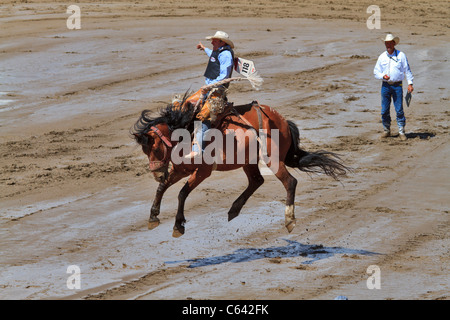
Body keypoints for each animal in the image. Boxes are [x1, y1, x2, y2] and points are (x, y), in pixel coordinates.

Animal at [131, 95, 348, 238]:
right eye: (145, 151)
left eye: (155, 148)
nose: (156, 173)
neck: (188, 132)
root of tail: (283, 121)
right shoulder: (179, 170)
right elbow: (162, 188)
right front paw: (153, 216)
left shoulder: (202, 172)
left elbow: (182, 193)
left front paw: (178, 225)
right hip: (248, 161)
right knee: (256, 181)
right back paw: (234, 209)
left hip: (272, 159)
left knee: (290, 182)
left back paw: (289, 220)